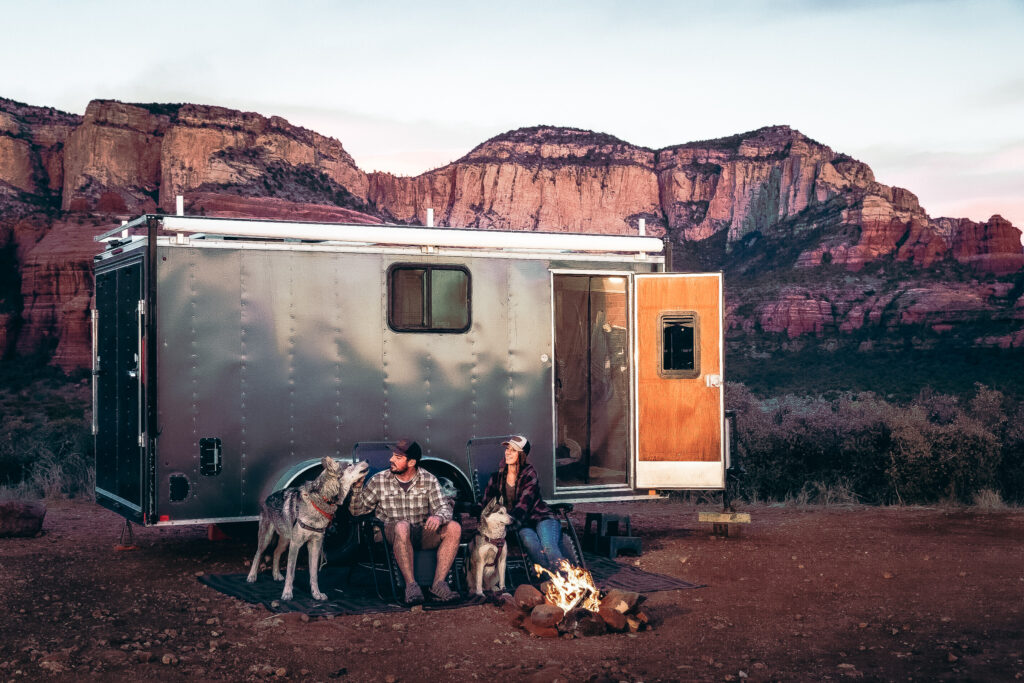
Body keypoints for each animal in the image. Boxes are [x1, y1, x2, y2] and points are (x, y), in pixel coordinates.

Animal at [245, 456, 370, 602]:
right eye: (350, 465)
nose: (366, 460)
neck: (321, 499)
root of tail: (268, 497)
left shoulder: (315, 545)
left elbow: (314, 574)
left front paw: (316, 594)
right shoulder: (296, 544)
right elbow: (291, 573)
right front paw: (287, 594)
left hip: (285, 542)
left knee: (276, 553)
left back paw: (276, 575)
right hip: (267, 539)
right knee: (258, 554)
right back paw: (252, 576)